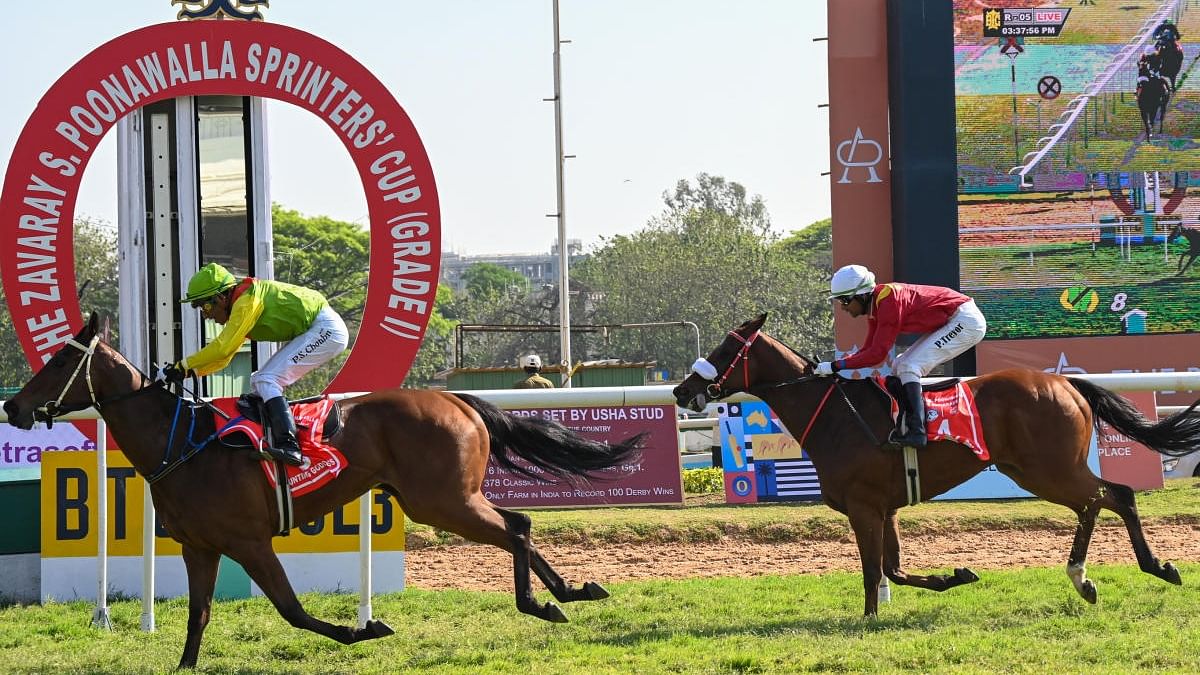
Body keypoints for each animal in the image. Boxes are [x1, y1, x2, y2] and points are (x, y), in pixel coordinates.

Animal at [2, 312, 648, 662]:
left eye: (59, 363)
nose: (13, 406)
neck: (180, 444)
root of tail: (455, 399)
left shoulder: (250, 542)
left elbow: (291, 611)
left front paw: (364, 627)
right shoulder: (200, 547)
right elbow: (199, 618)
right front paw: (185, 665)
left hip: (442, 501)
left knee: (515, 527)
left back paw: (543, 602)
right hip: (444, 499)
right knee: (520, 526)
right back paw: (571, 593)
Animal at [676, 314, 1200, 614]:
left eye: (726, 350)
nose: (682, 390)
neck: (834, 415)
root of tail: (1067, 383)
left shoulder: (864, 507)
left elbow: (873, 571)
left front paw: (868, 618)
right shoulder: (883, 507)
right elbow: (894, 570)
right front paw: (958, 575)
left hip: (1049, 469)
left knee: (1116, 496)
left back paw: (1150, 569)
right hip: (1037, 470)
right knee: (1095, 503)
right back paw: (1085, 579)